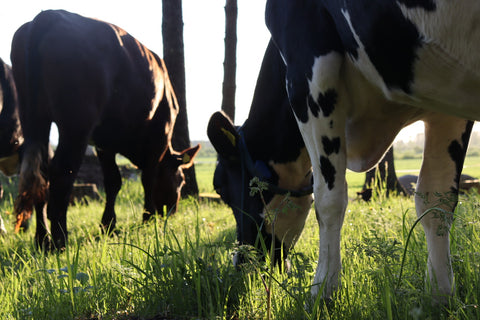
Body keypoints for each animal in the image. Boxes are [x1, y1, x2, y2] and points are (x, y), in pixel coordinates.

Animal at [11, 9, 199, 250]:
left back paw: (42, 239)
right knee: (61, 171)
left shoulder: (104, 142)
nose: (172, 211)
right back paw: (60, 241)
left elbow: (113, 181)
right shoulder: (160, 134)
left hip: (33, 117)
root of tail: (51, 14)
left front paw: (108, 225)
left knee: (39, 174)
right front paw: (147, 218)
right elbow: (148, 177)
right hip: (76, 122)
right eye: (181, 180)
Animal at [266, 0, 480, 302]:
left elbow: (328, 198)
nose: (241, 261)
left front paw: (323, 292)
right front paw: (441, 295)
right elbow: (435, 198)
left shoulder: (307, 66)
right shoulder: (448, 111)